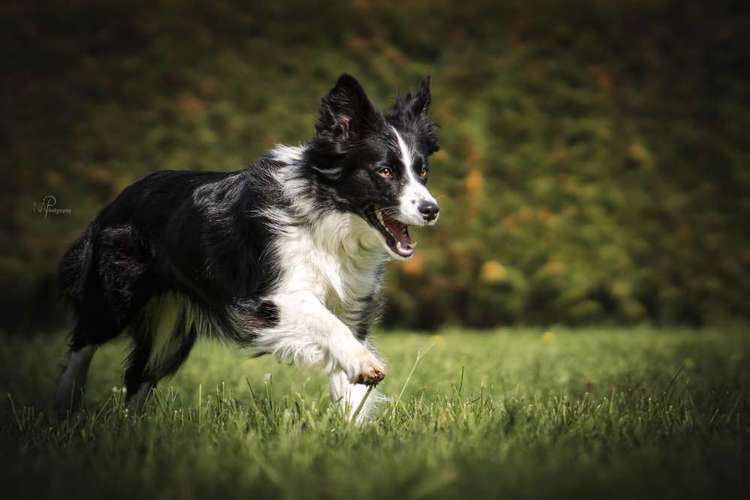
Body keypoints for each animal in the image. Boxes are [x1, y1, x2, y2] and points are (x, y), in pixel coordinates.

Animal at [57, 73, 440, 418]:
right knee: (84, 342)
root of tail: (117, 200)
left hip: (171, 326)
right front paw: (364, 364)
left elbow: (348, 375)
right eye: (385, 172)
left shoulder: (351, 304)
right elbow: (325, 321)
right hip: (114, 295)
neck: (329, 215)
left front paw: (352, 431)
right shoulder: (270, 297)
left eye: (422, 171)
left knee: (139, 374)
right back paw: (65, 408)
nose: (431, 209)